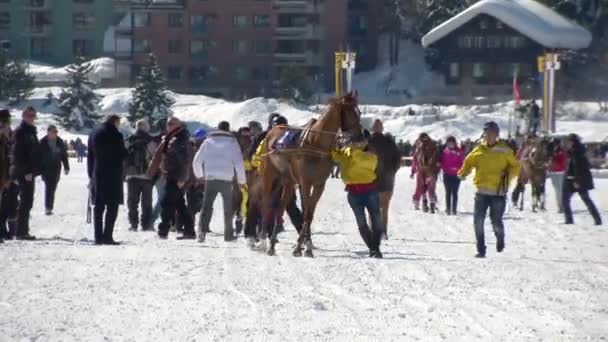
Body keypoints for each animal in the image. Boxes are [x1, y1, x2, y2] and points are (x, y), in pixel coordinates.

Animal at [255, 93, 360, 256]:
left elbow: (309, 214)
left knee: (280, 207)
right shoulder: (305, 182)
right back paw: (263, 242)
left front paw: (307, 246)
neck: (315, 144)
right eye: (351, 112)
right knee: (266, 203)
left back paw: (272, 244)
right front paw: (299, 247)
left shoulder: (318, 184)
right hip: (269, 175)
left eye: (358, 112)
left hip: (287, 181)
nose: (362, 135)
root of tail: (272, 133)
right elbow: (305, 212)